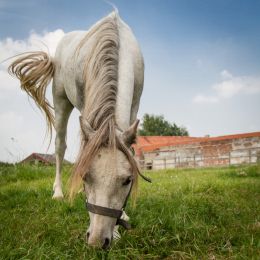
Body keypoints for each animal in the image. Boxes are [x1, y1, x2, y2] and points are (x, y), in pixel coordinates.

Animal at [8, 11, 148, 249]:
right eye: (84, 176)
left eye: (128, 180)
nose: (98, 241)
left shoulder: (134, 104)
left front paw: (123, 217)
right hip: (61, 101)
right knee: (60, 146)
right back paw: (57, 193)